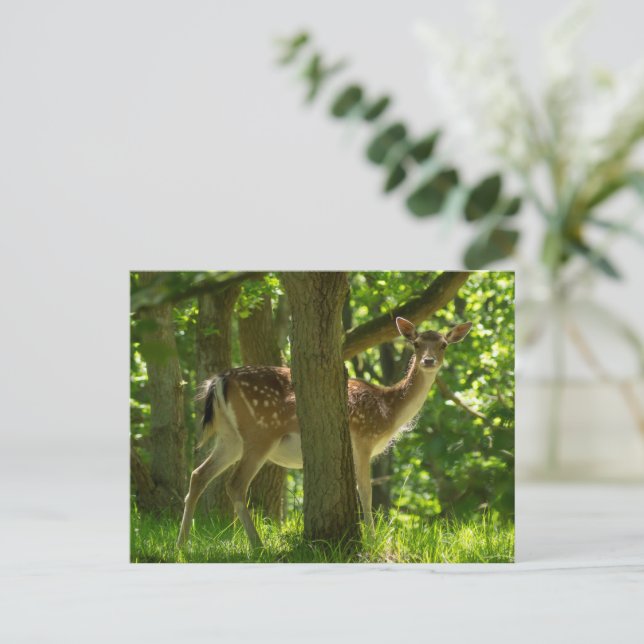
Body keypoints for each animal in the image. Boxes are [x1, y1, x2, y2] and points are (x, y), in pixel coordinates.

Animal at [176, 316, 472, 548]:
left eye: (443, 344)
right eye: (417, 343)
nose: (429, 360)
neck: (388, 410)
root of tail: (218, 380)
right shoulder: (363, 440)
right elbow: (366, 492)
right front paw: (372, 540)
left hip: (230, 438)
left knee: (198, 474)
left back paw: (182, 544)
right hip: (260, 433)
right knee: (235, 484)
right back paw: (257, 545)